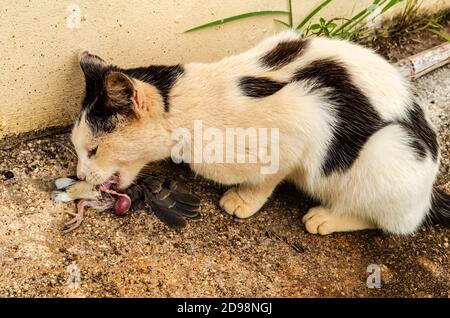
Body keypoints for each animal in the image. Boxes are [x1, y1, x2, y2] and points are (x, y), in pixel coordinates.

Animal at [70, 31, 446, 235]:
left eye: (93, 150)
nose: (80, 175)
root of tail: (429, 191)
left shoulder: (305, 116)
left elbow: (270, 175)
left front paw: (244, 200)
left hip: (389, 150)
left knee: (392, 220)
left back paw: (327, 217)